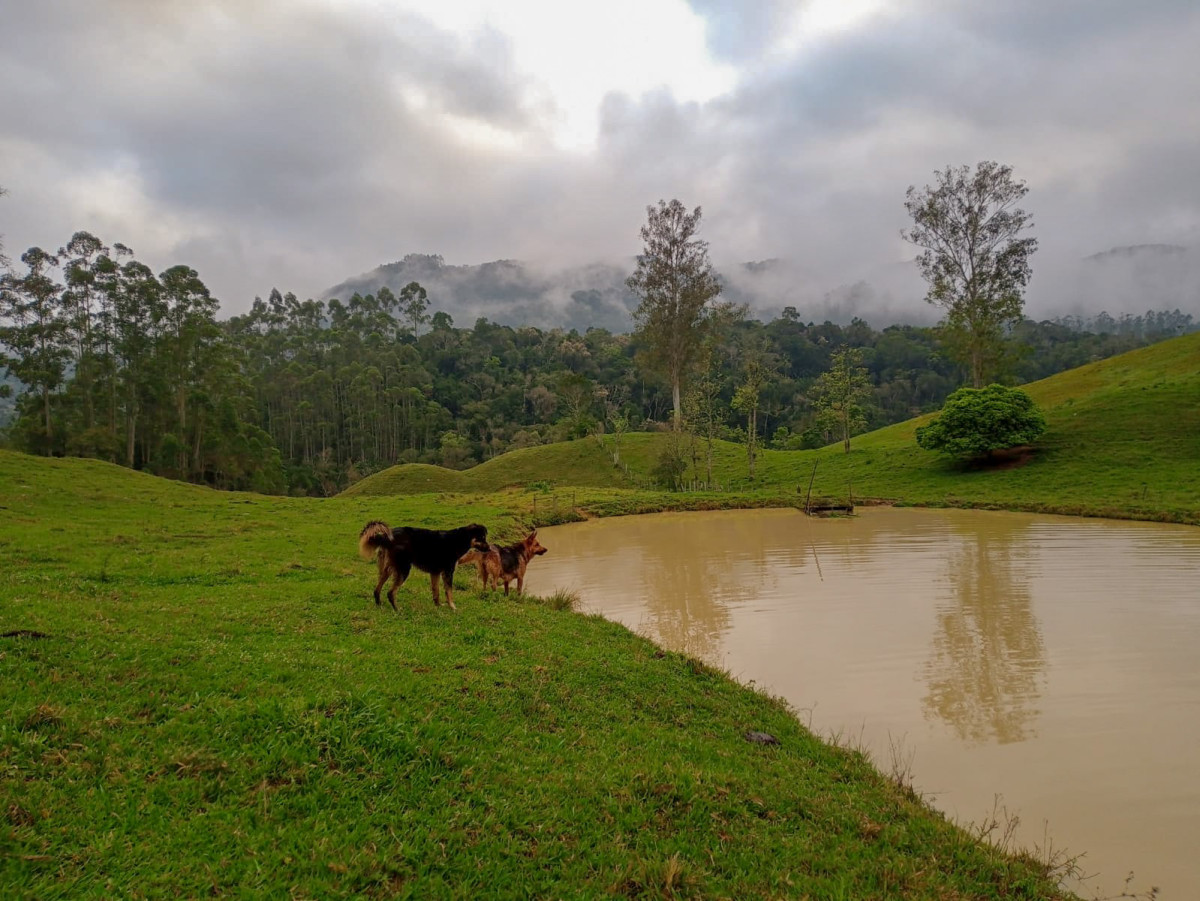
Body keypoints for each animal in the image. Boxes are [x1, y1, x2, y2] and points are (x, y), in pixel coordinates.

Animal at [355, 520, 487, 614]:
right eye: (482, 538)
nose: (489, 548)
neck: (459, 539)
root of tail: (387, 538)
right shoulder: (448, 572)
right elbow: (449, 592)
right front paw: (453, 607)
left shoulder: (435, 572)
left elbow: (436, 592)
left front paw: (438, 606)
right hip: (403, 569)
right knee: (390, 593)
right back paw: (397, 610)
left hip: (388, 569)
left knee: (377, 589)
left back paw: (379, 605)